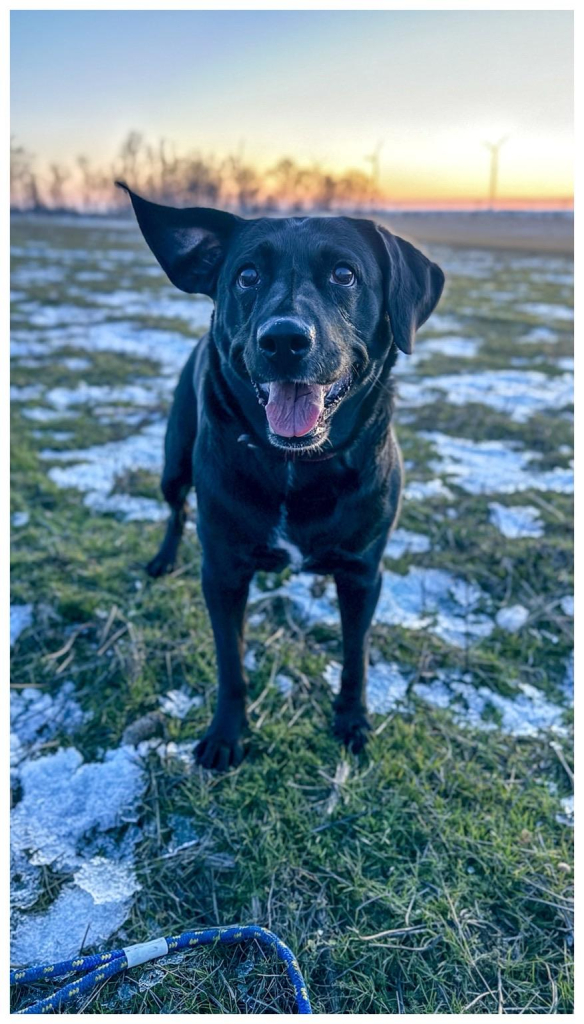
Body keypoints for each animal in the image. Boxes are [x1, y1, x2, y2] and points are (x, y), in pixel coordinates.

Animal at [119, 188, 440, 770]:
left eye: (344, 274)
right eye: (247, 275)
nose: (285, 339)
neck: (296, 466)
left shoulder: (363, 573)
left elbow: (355, 656)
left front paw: (352, 722)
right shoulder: (223, 572)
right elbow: (231, 663)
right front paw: (226, 735)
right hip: (173, 464)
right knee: (177, 507)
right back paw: (163, 560)